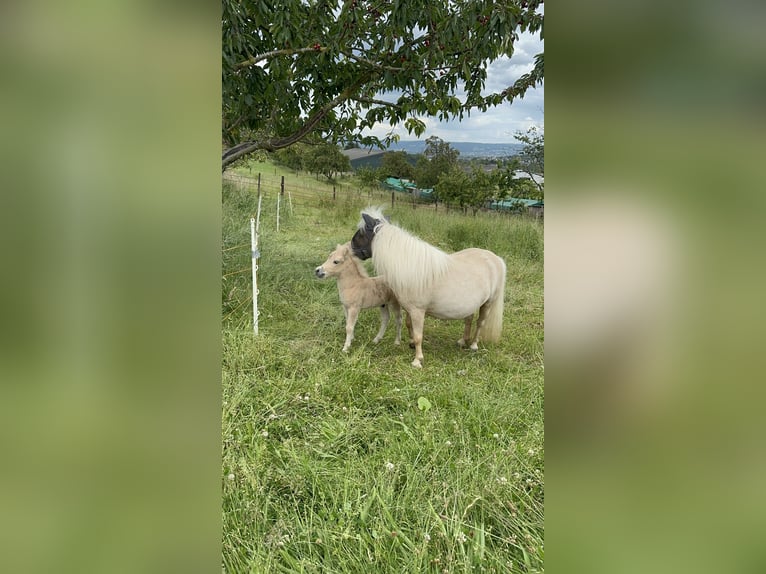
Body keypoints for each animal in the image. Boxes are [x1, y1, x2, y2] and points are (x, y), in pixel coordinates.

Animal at [352, 208, 508, 368]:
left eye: (362, 233)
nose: (351, 248)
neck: (410, 267)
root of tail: (496, 259)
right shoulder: (410, 309)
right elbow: (409, 325)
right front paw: (411, 344)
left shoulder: (418, 311)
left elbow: (419, 335)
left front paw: (417, 360)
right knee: (469, 319)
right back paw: (463, 341)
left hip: (488, 303)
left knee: (480, 322)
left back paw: (473, 345)